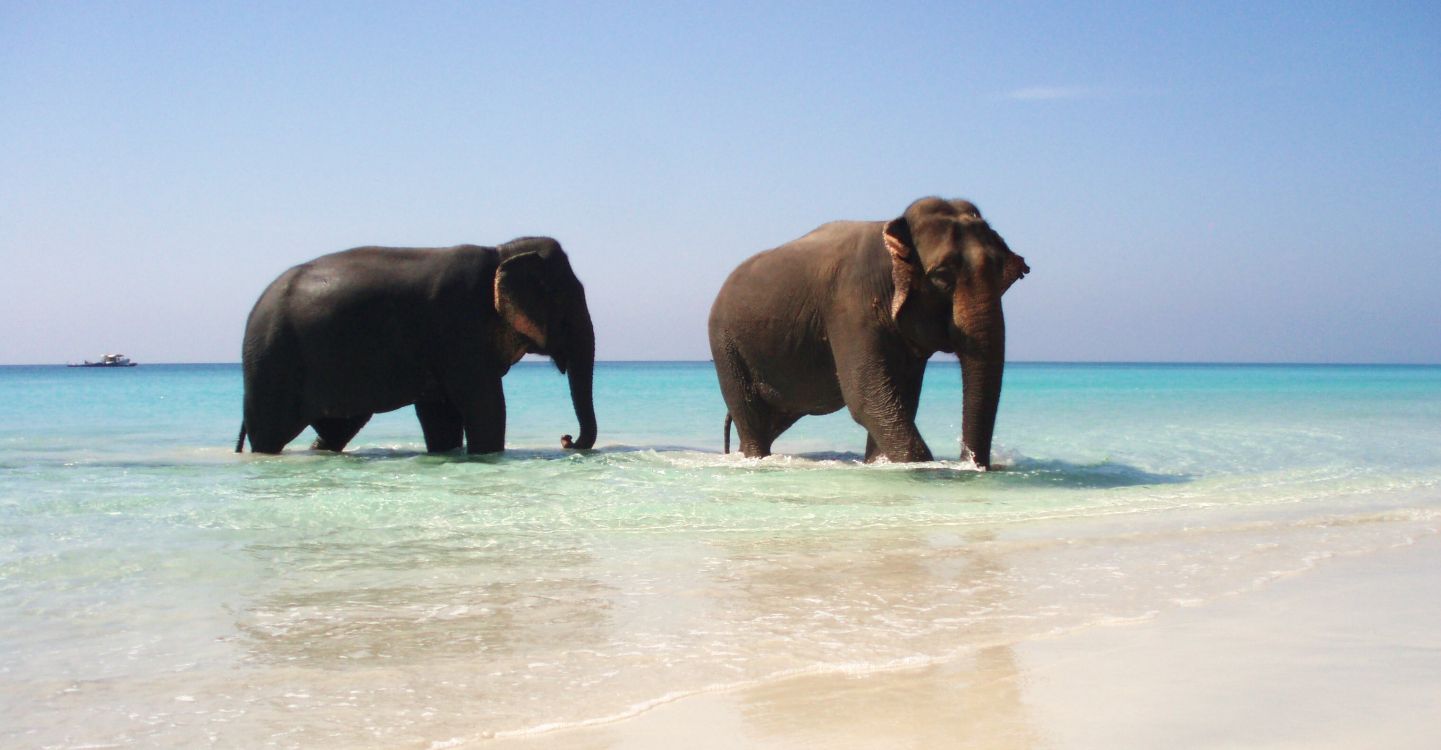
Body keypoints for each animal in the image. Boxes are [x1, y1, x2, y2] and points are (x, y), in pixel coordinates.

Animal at [235, 237, 596, 454]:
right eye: (568, 301)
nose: (566, 439)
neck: (500, 251)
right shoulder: (457, 326)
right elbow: (485, 404)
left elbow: (440, 413)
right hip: (272, 364)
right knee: (270, 434)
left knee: (338, 429)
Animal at [708, 197, 1028, 468]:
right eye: (942, 276)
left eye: (1002, 274)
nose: (970, 462)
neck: (892, 231)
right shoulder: (850, 306)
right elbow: (866, 396)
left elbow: (900, 399)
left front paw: (878, 463)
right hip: (725, 347)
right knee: (751, 418)